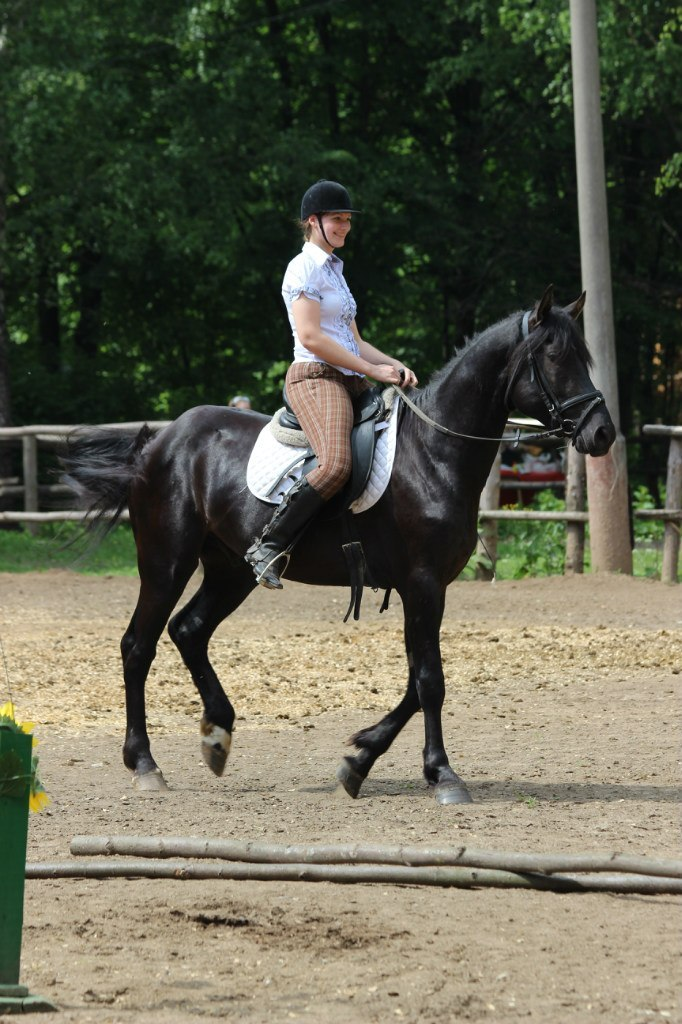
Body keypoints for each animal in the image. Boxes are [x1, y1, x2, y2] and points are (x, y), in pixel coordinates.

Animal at [62, 284, 614, 802]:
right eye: (555, 357)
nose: (602, 433)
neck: (433, 453)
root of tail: (159, 441)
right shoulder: (422, 583)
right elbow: (430, 680)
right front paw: (442, 775)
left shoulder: (429, 588)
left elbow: (416, 680)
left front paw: (359, 760)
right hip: (166, 562)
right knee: (138, 646)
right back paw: (145, 764)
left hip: (230, 570)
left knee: (189, 630)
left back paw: (217, 735)